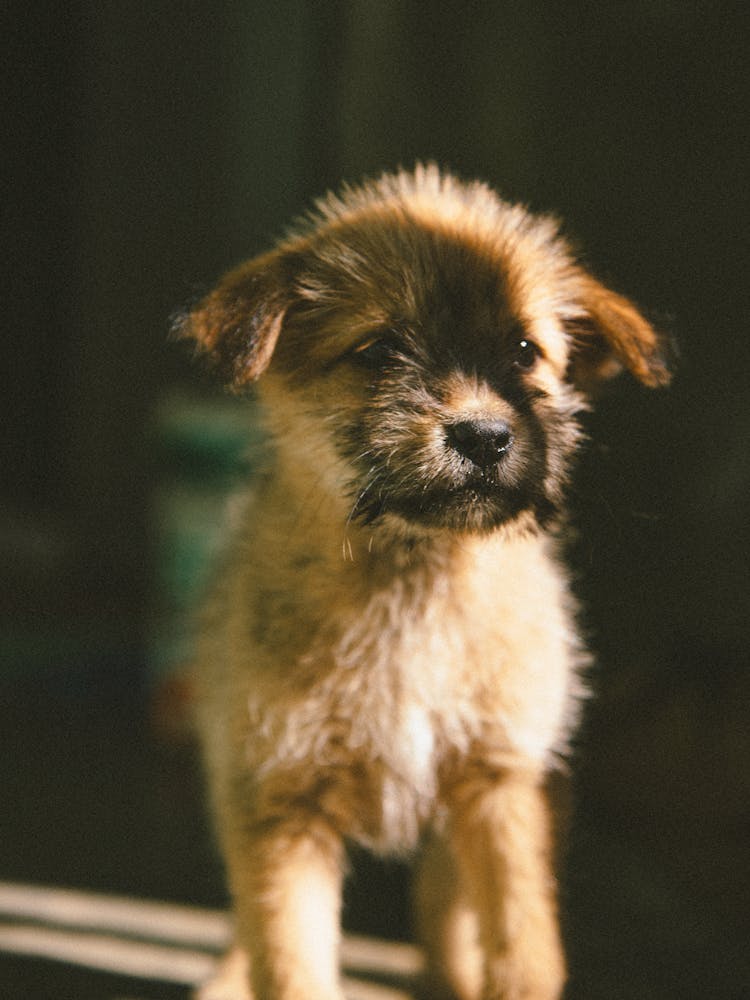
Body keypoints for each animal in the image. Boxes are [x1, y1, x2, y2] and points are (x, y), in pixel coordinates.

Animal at [181, 166, 668, 1000]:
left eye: (525, 352)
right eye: (378, 350)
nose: (485, 437)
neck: (413, 582)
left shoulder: (500, 784)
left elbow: (522, 946)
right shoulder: (280, 803)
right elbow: (292, 957)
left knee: (442, 908)